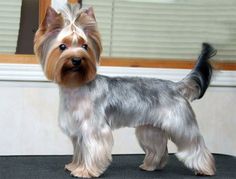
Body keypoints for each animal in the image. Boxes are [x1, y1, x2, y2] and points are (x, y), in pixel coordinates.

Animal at [34, 2, 217, 178]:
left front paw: (86, 171)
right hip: (150, 128)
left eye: (85, 46)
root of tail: (176, 86)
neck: (76, 85)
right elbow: (80, 151)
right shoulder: (78, 132)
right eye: (62, 47)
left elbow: (91, 150)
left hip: (180, 123)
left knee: (195, 145)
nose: (77, 59)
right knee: (158, 147)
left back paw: (205, 169)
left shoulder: (94, 129)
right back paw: (150, 166)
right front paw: (75, 166)